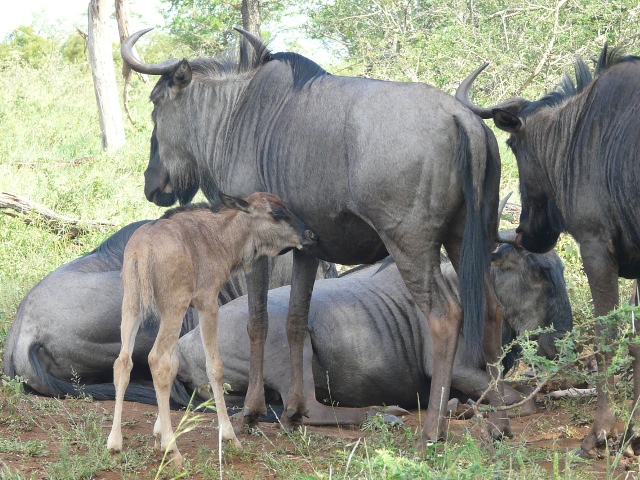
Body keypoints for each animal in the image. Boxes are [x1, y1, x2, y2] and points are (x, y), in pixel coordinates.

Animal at [107, 191, 318, 464]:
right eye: (277, 213)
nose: (310, 235)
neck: (220, 238)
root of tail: (142, 250)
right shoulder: (207, 302)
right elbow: (214, 368)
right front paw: (229, 436)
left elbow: (174, 364)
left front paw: (157, 433)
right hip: (172, 306)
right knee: (156, 360)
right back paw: (173, 449)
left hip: (132, 304)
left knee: (124, 362)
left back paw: (115, 442)